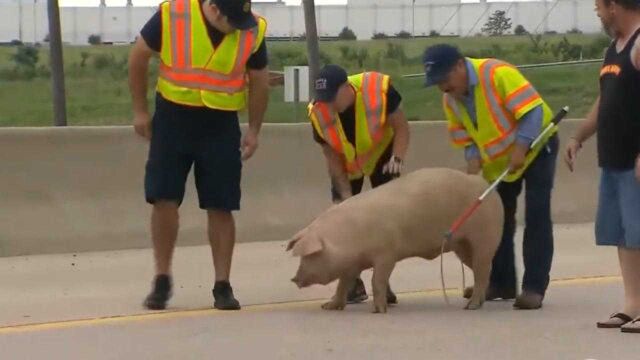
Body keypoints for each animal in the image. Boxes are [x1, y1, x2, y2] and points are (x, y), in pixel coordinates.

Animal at [288, 168, 502, 312]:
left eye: (308, 256)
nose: (294, 278)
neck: (348, 238)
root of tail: (488, 188)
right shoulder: (352, 263)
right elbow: (343, 283)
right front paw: (328, 306)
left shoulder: (387, 254)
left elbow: (378, 280)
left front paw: (379, 310)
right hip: (462, 246)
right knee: (483, 268)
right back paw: (474, 298)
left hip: (484, 237)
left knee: (483, 269)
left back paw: (471, 306)